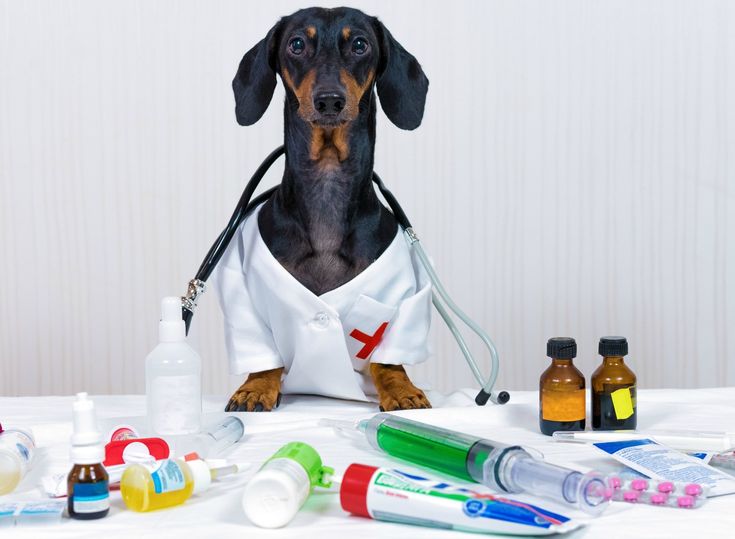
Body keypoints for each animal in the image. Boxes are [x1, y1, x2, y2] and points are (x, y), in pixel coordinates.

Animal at [224, 6, 432, 414]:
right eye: (296, 44)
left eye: (360, 44)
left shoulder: (404, 293)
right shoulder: (243, 291)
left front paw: (401, 389)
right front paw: (255, 387)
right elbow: (262, 353)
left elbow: (389, 357)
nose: (329, 101)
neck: (327, 181)